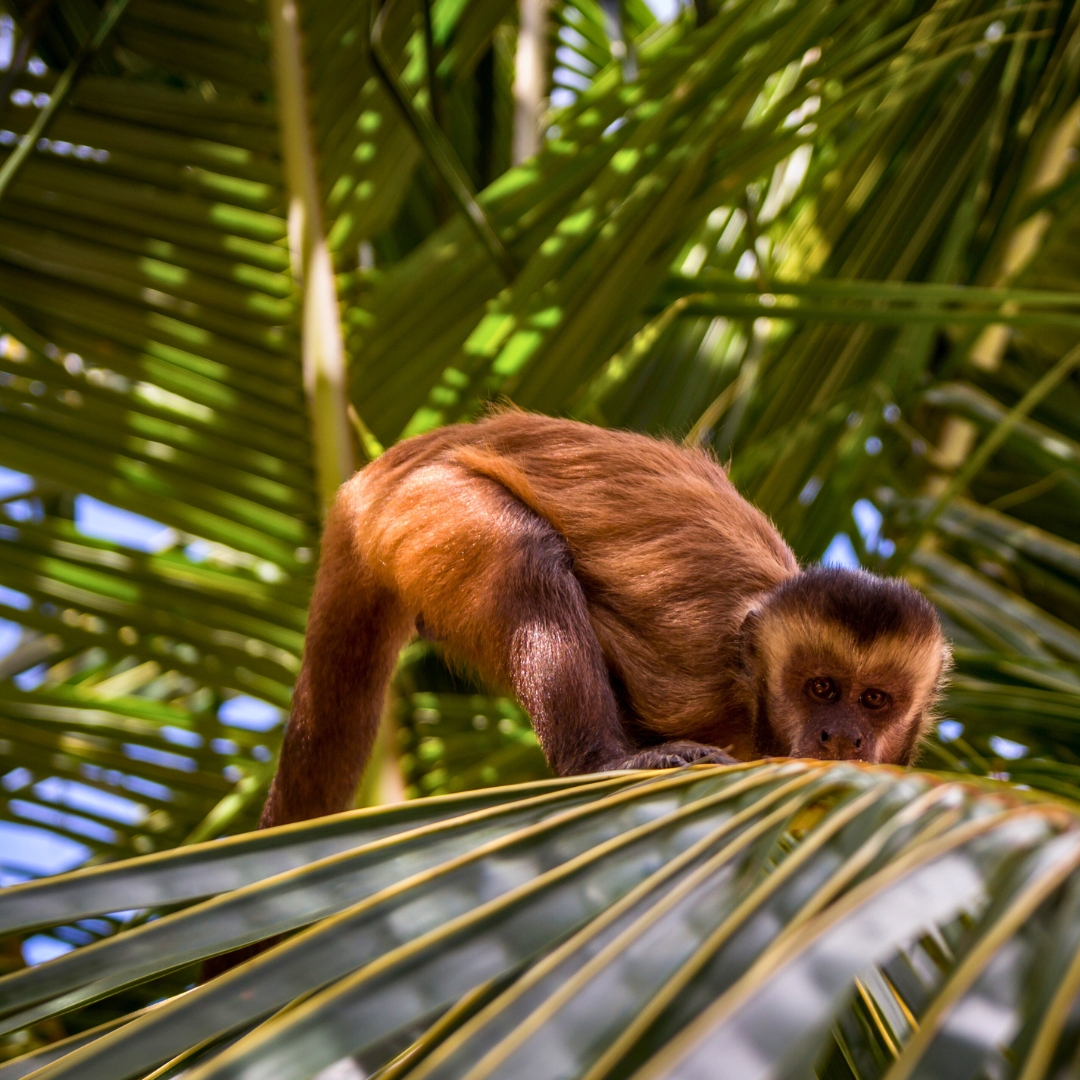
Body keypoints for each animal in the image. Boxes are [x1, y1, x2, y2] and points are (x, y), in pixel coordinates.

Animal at [259, 410, 946, 825]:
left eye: (875, 700)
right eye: (821, 689)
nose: (841, 737)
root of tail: (366, 483)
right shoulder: (696, 674)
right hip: (424, 503)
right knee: (526, 556)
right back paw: (597, 762)